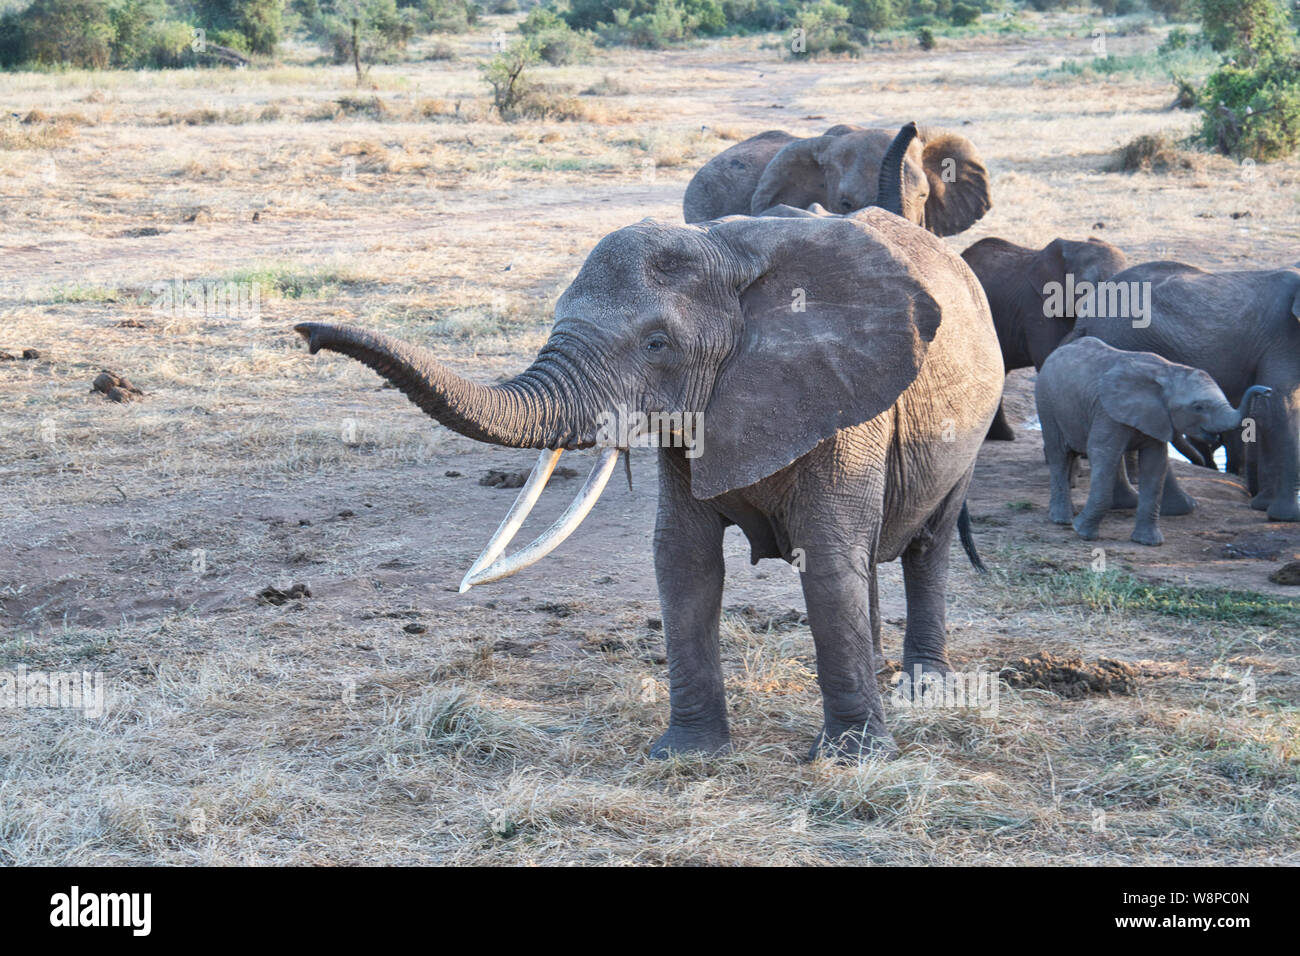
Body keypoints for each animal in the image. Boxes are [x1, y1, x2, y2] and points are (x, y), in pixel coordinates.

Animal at [1034, 335, 1268, 546]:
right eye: (1198, 407)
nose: (1266, 391)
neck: (1167, 372)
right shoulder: (1107, 411)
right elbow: (1102, 452)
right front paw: (1082, 532)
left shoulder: (1156, 416)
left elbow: (1155, 464)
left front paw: (1148, 542)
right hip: (1046, 403)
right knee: (1059, 454)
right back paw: (1062, 519)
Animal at [1071, 260, 1300, 522]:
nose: (1263, 390)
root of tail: (1087, 311)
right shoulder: (1284, 336)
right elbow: (1282, 405)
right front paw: (1287, 516)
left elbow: (1269, 411)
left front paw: (1264, 507)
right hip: (1125, 337)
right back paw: (1176, 508)